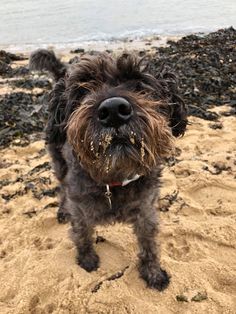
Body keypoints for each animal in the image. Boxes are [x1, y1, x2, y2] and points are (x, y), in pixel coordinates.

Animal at [29, 49, 187, 292]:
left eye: (139, 83)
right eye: (83, 89)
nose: (113, 110)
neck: (113, 177)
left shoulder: (146, 209)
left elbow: (149, 244)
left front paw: (153, 273)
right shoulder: (80, 210)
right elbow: (82, 235)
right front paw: (87, 260)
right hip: (58, 161)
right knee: (61, 187)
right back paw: (62, 210)